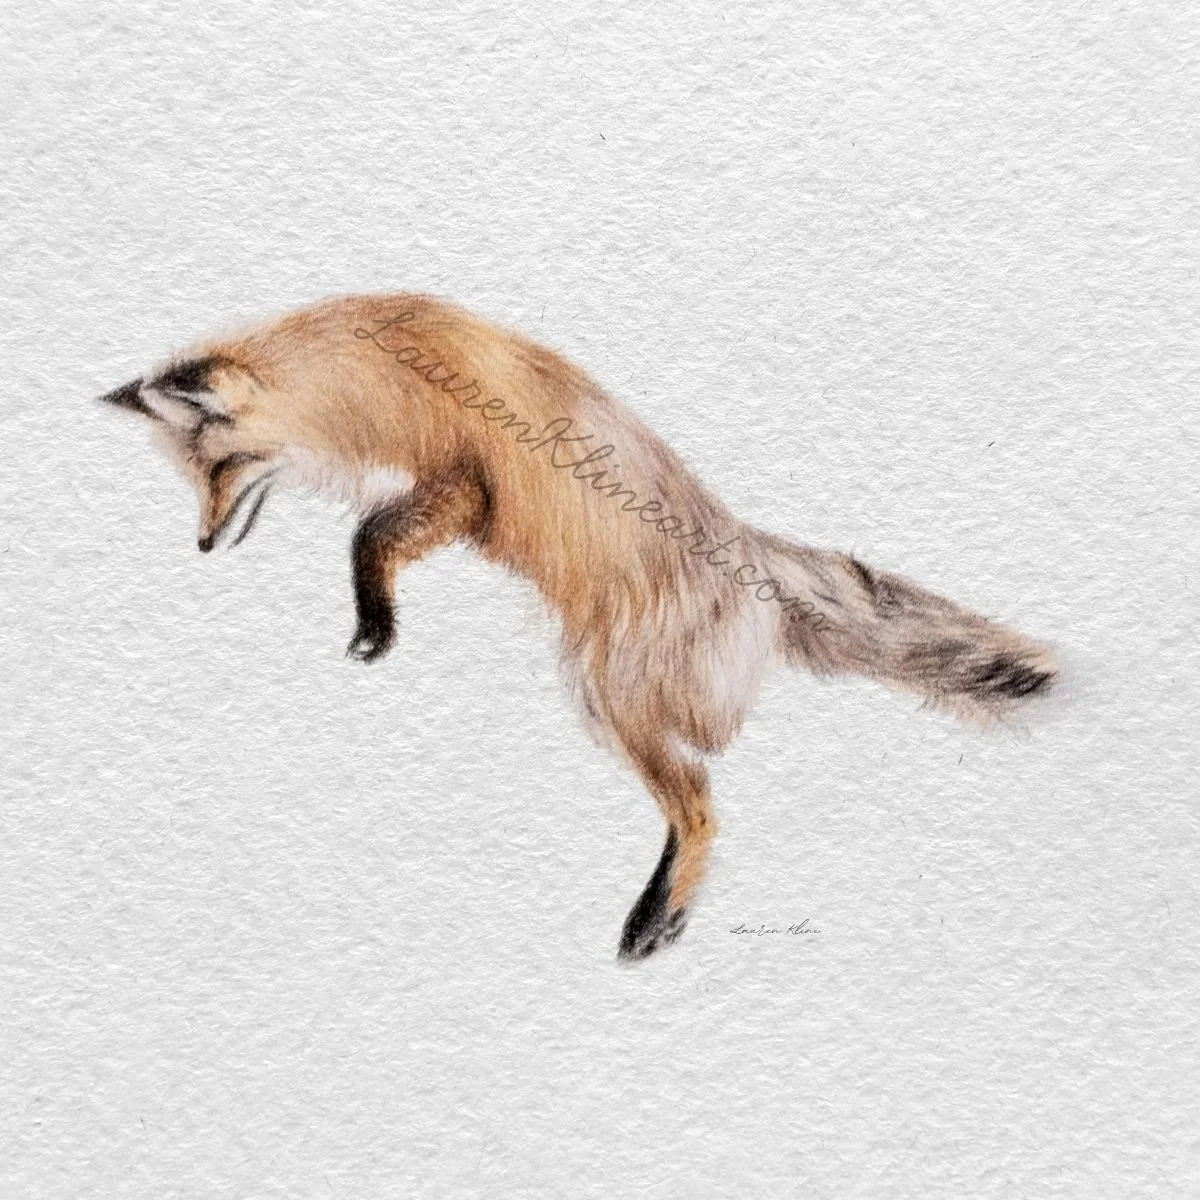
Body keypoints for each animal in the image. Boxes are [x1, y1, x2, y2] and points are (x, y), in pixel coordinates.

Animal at [98, 293, 1058, 961]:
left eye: (218, 469)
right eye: (194, 480)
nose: (201, 545)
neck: (362, 369)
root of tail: (749, 558)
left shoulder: (466, 486)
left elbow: (368, 536)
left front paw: (376, 621)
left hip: (610, 693)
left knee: (701, 803)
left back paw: (657, 920)